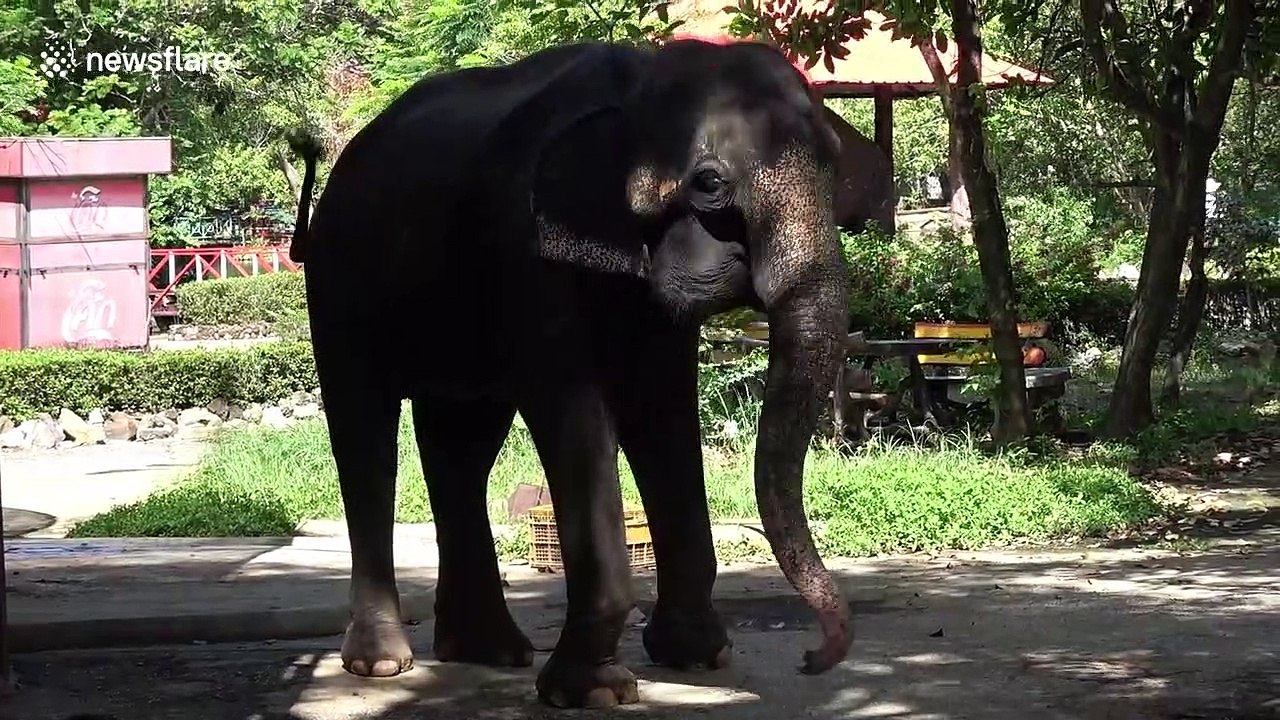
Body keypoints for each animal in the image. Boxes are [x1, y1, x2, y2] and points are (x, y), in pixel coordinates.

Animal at [287, 38, 853, 708]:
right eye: (710, 184)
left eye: (837, 166)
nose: (812, 659)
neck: (638, 83)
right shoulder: (525, 251)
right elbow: (572, 406)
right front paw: (595, 692)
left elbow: (661, 405)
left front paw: (695, 657)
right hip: (339, 284)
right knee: (365, 434)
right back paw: (381, 663)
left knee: (461, 447)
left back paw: (489, 651)